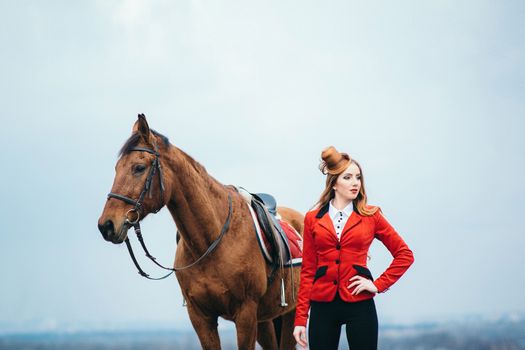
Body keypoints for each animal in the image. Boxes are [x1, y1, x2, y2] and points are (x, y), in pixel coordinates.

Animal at [97, 114, 302, 348]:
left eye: (139, 167)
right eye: (116, 168)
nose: (106, 225)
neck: (212, 242)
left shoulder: (246, 314)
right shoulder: (201, 318)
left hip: (289, 314)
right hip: (266, 321)